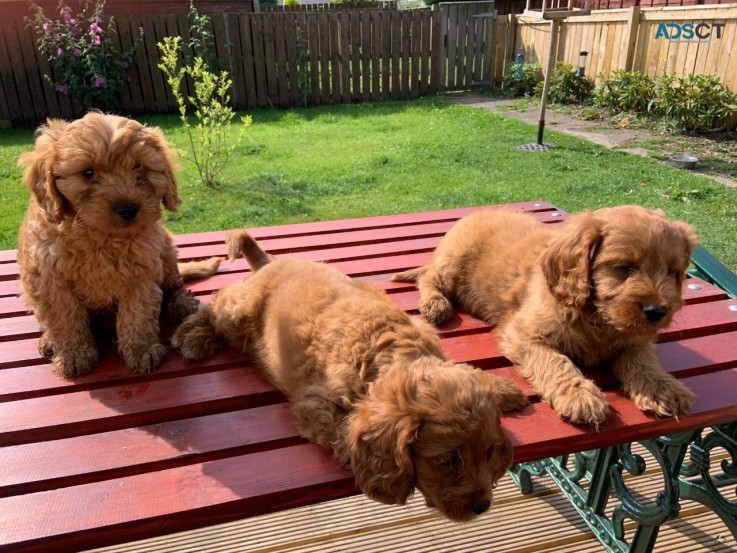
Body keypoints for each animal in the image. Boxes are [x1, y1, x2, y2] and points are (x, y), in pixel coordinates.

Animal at [16, 112, 218, 380]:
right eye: (88, 172)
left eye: (139, 167)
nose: (128, 208)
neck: (102, 237)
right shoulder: (50, 280)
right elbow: (65, 319)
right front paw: (74, 355)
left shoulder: (141, 271)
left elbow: (137, 314)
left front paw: (141, 350)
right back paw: (49, 339)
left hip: (165, 252)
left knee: (175, 285)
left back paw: (182, 303)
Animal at [172, 230, 528, 520]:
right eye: (447, 462)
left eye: (488, 452)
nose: (482, 506)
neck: (390, 352)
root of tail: (269, 261)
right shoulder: (316, 404)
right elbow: (344, 434)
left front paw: (503, 389)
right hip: (237, 313)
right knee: (214, 305)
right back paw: (192, 338)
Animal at [392, 205, 696, 424]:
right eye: (625, 267)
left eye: (672, 272)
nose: (657, 311)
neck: (598, 320)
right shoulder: (524, 334)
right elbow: (554, 361)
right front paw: (578, 394)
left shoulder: (635, 340)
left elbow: (643, 361)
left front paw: (662, 389)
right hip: (452, 262)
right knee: (429, 278)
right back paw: (436, 305)